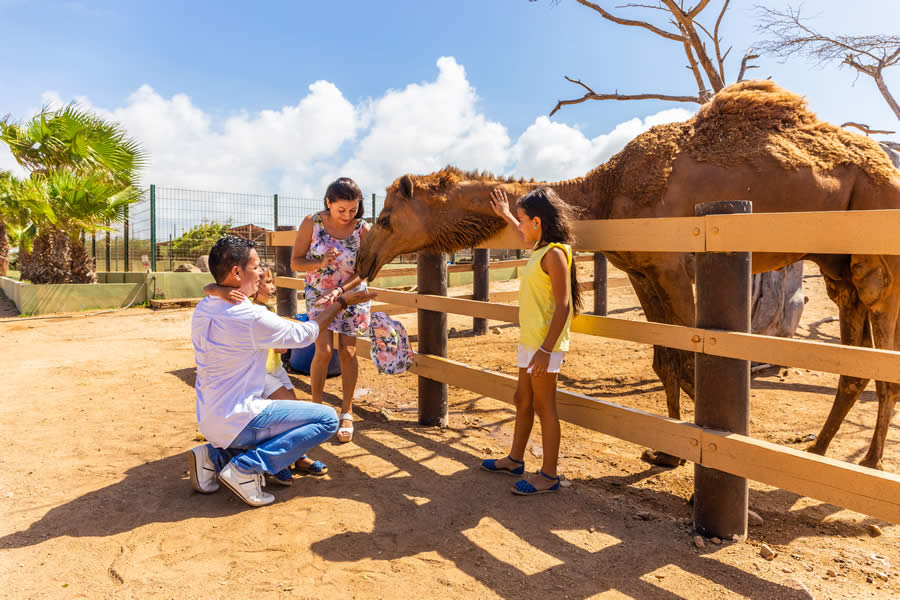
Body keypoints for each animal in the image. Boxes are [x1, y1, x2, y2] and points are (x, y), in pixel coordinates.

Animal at [356, 81, 900, 468]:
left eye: (385, 219)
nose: (363, 261)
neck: (604, 191)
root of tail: (887, 167)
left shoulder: (675, 266)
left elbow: (690, 357)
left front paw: (698, 457)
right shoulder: (642, 270)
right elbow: (667, 361)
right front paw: (667, 451)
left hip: (878, 242)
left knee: (881, 335)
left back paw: (870, 464)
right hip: (836, 261)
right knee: (854, 352)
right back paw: (820, 452)